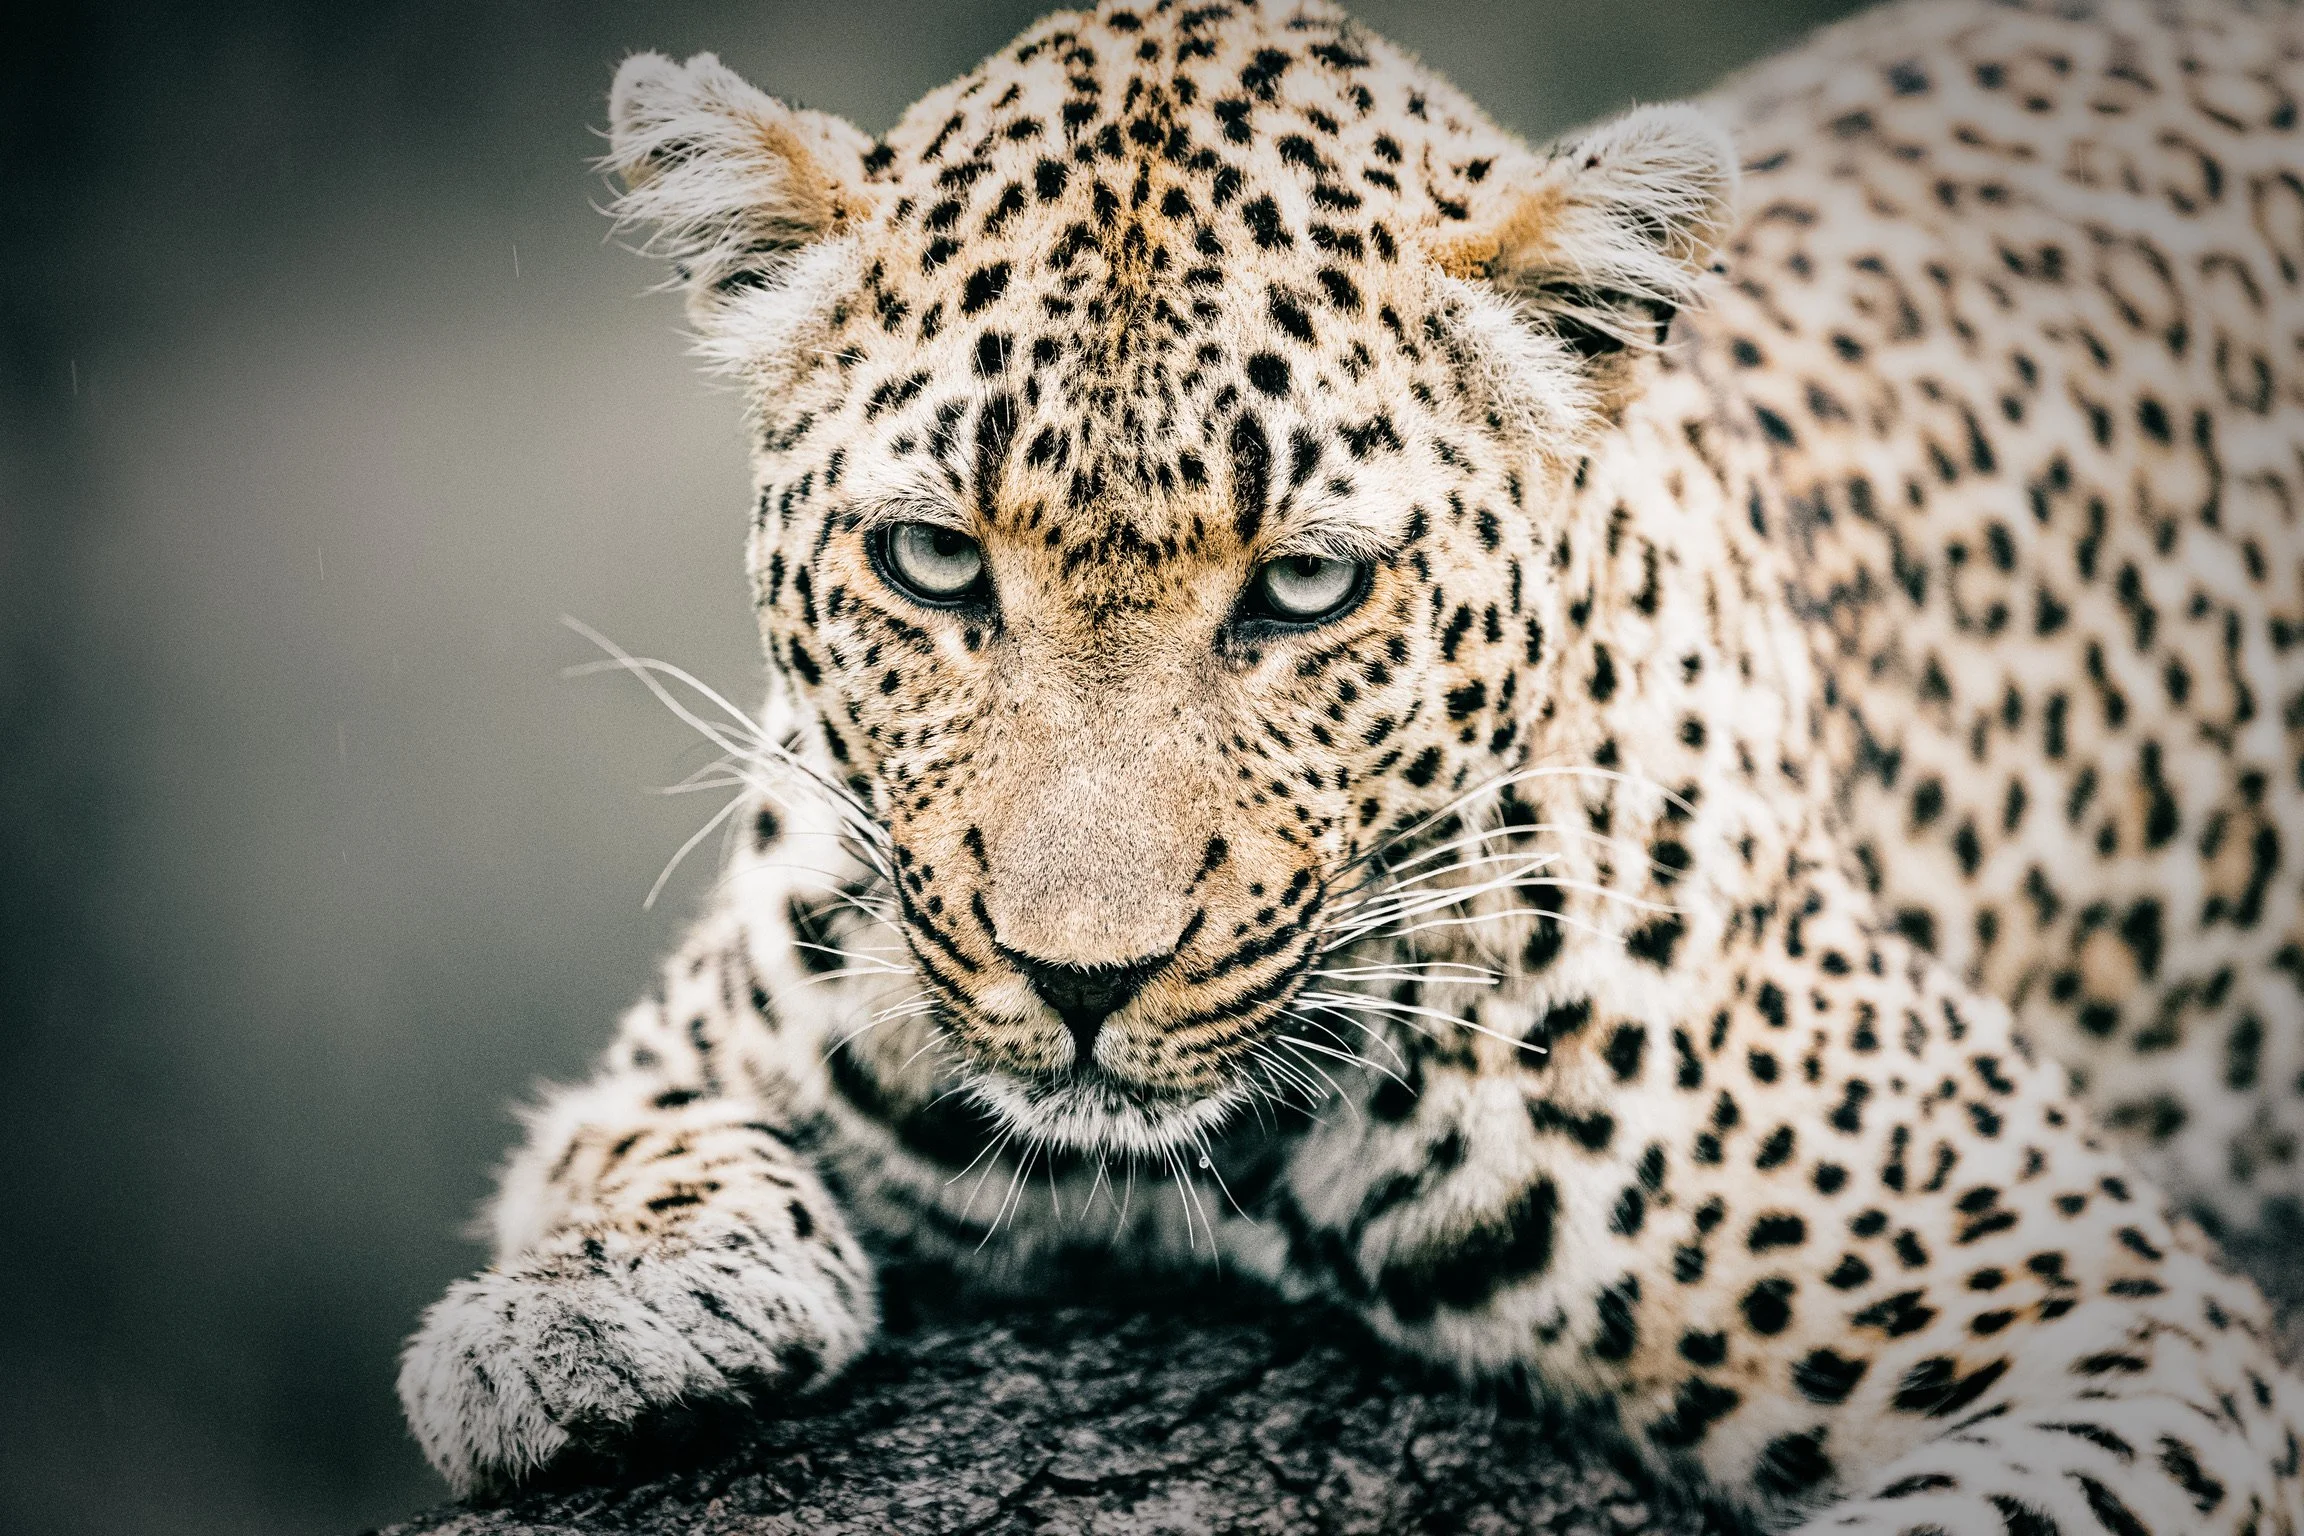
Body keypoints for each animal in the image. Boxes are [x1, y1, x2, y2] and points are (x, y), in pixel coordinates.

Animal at [397, 0, 2304, 1530]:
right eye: (933, 561)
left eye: (1305, 587)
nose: (1077, 980)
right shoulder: (727, 1006)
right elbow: (636, 1142)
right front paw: (571, 1322)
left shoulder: (2118, 1323)